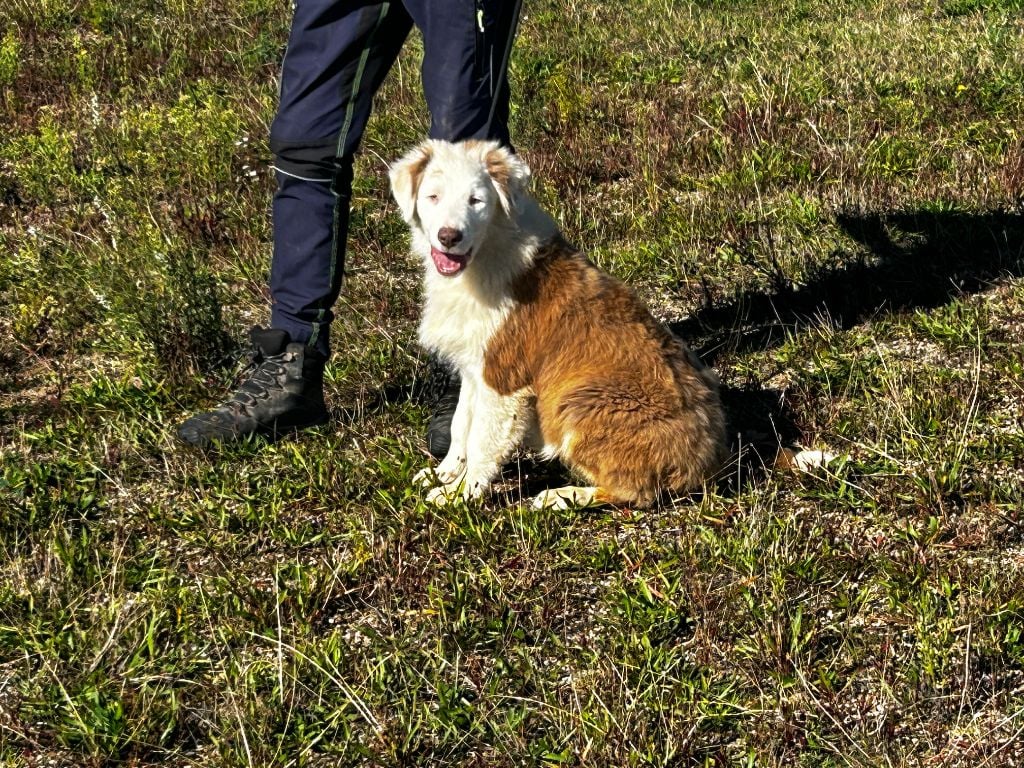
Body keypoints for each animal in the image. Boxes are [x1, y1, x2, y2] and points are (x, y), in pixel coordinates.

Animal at [385, 140, 729, 512]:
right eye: (433, 197)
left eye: (476, 200)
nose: (449, 237)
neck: (487, 250)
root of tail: (711, 461)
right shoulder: (474, 370)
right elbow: (461, 424)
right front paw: (445, 474)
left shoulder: (504, 381)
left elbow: (481, 441)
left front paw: (462, 494)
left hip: (580, 403)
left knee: (635, 492)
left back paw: (562, 496)